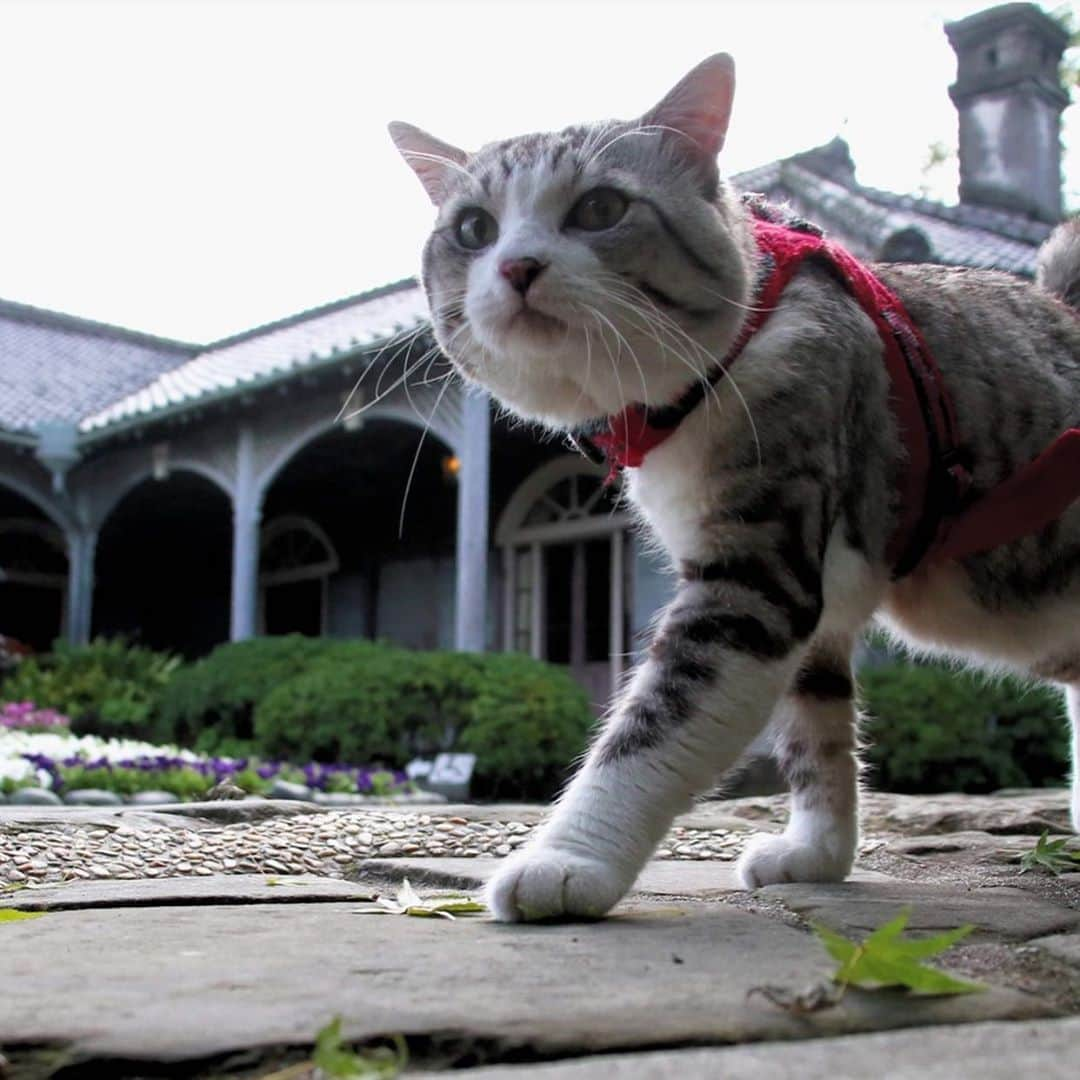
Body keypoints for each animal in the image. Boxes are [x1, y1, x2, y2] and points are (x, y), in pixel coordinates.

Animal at [393, 54, 1080, 924]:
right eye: (474, 229)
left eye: (601, 207)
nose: (517, 266)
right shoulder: (812, 609)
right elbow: (815, 733)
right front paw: (818, 853)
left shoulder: (754, 577)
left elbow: (653, 729)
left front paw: (565, 861)